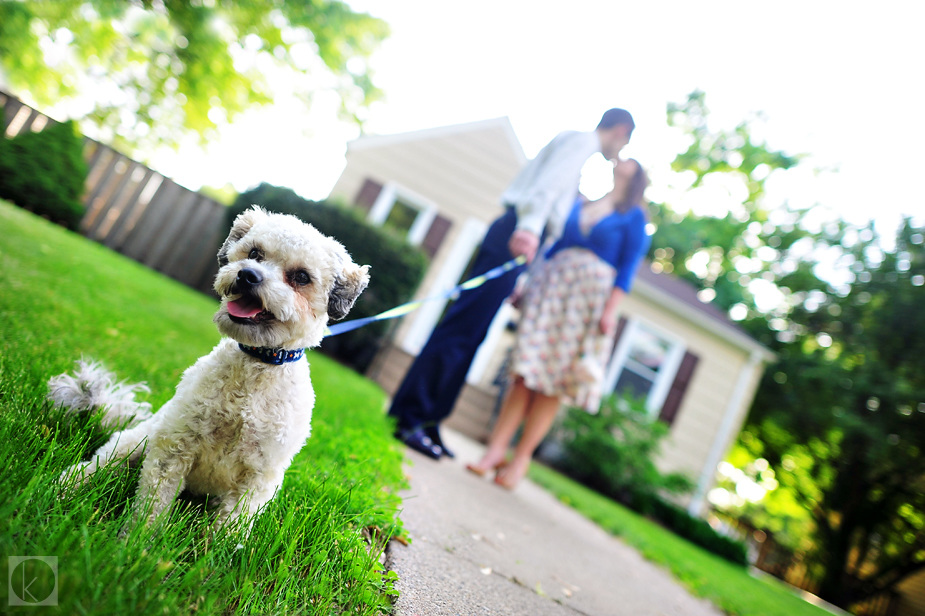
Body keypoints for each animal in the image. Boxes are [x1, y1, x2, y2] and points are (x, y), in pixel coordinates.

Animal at [47, 207, 368, 536]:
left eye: (301, 277)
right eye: (254, 253)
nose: (247, 274)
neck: (254, 368)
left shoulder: (258, 477)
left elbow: (229, 529)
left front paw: (209, 550)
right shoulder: (174, 445)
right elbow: (152, 506)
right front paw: (136, 541)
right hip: (132, 444)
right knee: (95, 466)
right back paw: (63, 489)